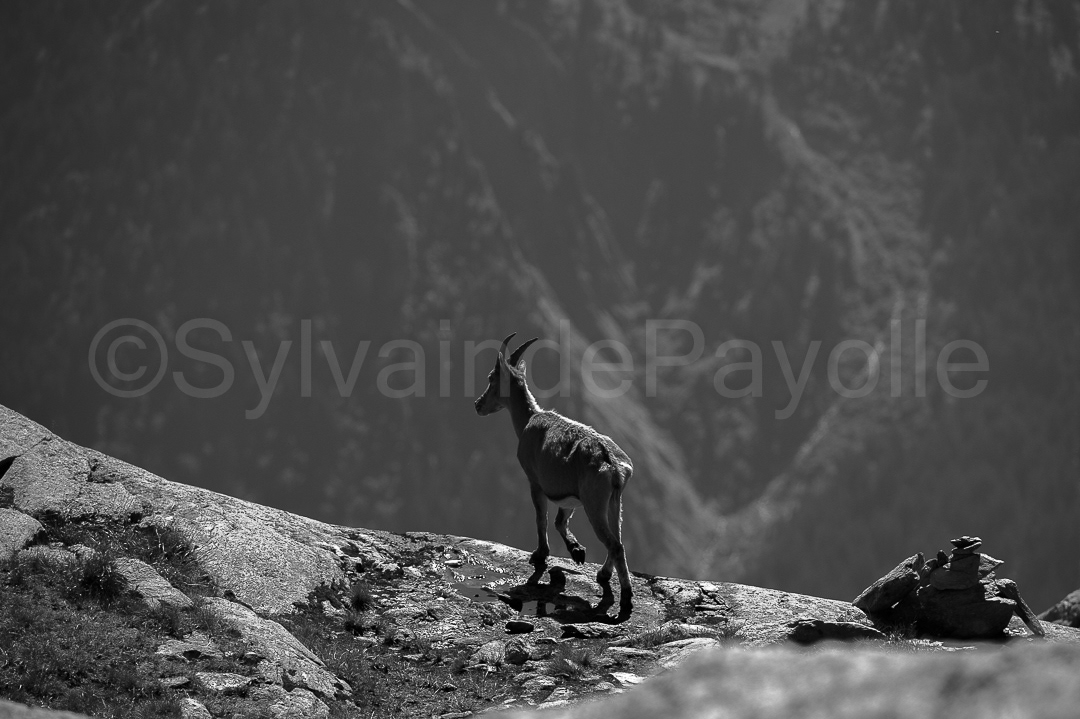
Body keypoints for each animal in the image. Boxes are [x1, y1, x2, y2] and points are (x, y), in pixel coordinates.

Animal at [474, 332, 633, 616]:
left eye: (492, 377)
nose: (477, 405)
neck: (528, 420)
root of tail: (614, 465)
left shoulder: (535, 481)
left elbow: (541, 518)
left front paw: (540, 554)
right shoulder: (568, 496)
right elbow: (560, 520)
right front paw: (577, 550)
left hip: (594, 502)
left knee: (613, 543)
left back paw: (625, 596)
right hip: (614, 501)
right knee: (618, 540)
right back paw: (603, 574)